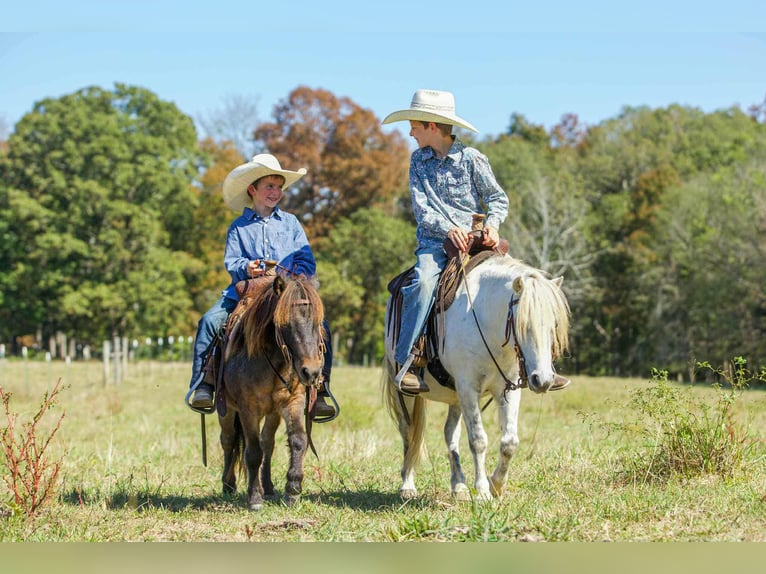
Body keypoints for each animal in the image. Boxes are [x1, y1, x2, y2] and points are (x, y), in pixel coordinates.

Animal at [218, 274, 326, 511]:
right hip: (227, 410)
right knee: (228, 440)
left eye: (317, 322)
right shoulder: (248, 410)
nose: (311, 372)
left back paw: (267, 487)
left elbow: (298, 440)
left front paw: (293, 490)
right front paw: (254, 499)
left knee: (267, 442)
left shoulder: (292, 402)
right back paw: (229, 485)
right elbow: (252, 452)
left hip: (273, 412)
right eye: (285, 323)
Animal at [383, 254, 570, 501]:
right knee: (409, 431)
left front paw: (496, 485)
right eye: (524, 326)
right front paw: (482, 491)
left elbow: (509, 442)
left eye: (554, 325)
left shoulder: (506, 390)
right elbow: (478, 440)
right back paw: (408, 485)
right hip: (404, 392)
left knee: (450, 434)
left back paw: (459, 486)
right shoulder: (468, 388)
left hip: (455, 397)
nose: (543, 380)